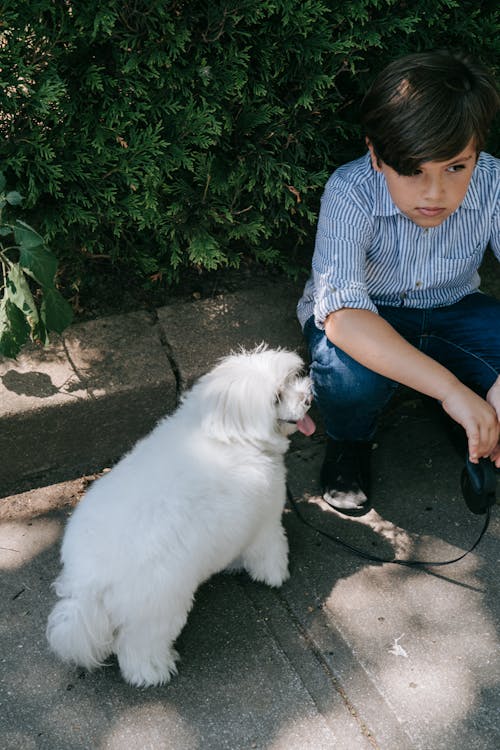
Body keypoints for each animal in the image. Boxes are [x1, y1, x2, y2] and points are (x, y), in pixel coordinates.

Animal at [46, 346, 312, 688]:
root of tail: (90, 581)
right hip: (159, 610)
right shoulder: (264, 523)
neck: (224, 431)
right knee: (139, 648)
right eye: (277, 396)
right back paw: (154, 672)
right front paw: (275, 575)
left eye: (291, 379)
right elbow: (270, 552)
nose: (307, 397)